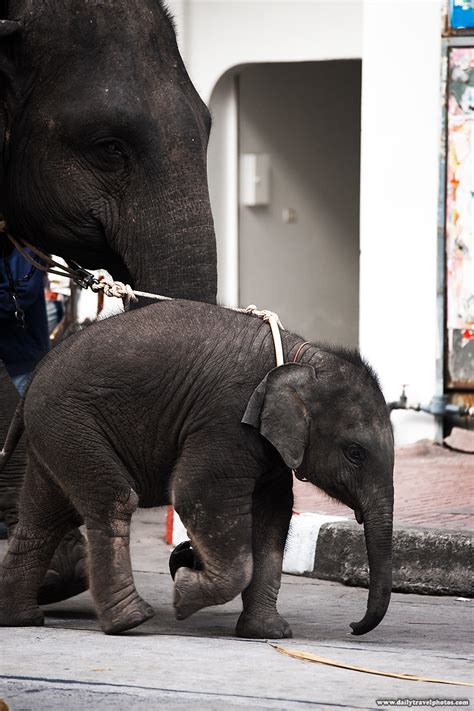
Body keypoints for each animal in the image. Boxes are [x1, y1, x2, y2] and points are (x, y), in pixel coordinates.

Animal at [0, 300, 394, 638]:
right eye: (355, 453)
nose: (353, 627)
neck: (301, 358)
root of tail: (37, 372)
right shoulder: (226, 419)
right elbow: (198, 494)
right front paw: (183, 591)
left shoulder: (267, 446)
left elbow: (273, 515)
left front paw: (267, 633)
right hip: (70, 423)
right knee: (111, 501)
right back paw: (130, 620)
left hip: (56, 432)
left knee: (44, 516)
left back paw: (20, 619)